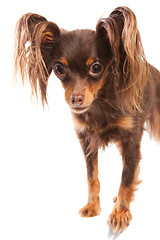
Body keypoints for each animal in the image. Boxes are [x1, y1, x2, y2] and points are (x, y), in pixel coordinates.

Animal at [13, 7, 160, 232]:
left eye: (96, 68)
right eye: (59, 69)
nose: (76, 99)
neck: (100, 102)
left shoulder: (131, 140)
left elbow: (126, 177)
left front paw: (121, 212)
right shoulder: (87, 141)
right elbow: (93, 176)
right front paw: (93, 206)